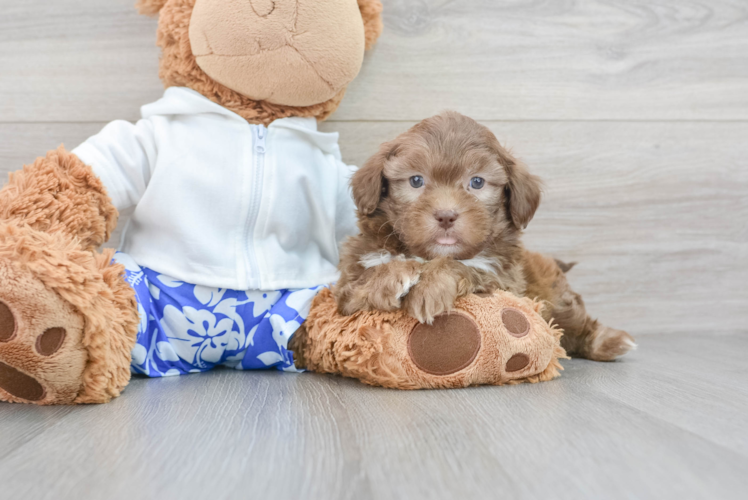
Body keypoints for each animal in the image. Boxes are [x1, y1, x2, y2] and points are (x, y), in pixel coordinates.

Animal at [336, 110, 636, 360]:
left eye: (477, 182)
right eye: (416, 180)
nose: (446, 215)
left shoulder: (505, 282)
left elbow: (464, 267)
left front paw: (431, 287)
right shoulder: (346, 292)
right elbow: (364, 280)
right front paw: (395, 275)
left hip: (557, 297)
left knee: (576, 322)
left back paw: (611, 342)